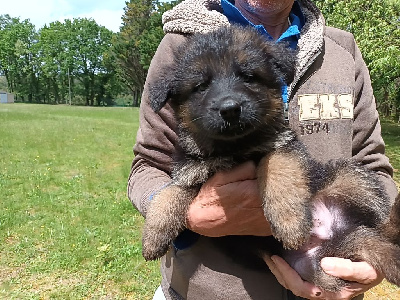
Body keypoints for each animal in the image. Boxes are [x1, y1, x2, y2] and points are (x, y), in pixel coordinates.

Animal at [141, 24, 400, 292]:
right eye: (201, 86)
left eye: (248, 76)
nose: (230, 109)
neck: (235, 148)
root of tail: (339, 232)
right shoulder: (191, 170)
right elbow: (168, 192)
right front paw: (153, 234)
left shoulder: (282, 145)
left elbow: (276, 166)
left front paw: (289, 220)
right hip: (318, 263)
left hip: (350, 176)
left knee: (383, 225)